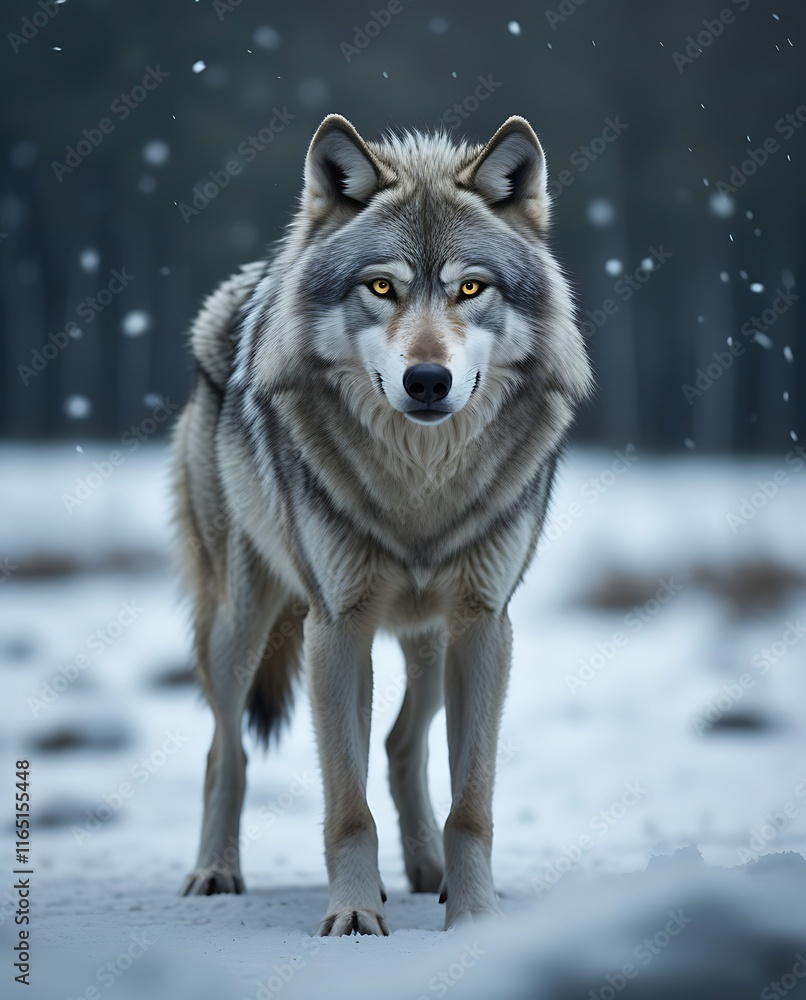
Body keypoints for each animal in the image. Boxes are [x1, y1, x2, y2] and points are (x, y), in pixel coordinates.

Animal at [173, 113, 592, 935]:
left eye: (470, 287)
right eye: (380, 286)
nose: (426, 380)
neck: (420, 490)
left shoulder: (485, 625)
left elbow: (471, 804)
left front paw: (473, 915)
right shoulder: (336, 628)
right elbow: (347, 806)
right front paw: (354, 915)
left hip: (428, 641)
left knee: (403, 744)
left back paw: (427, 870)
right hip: (242, 624)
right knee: (223, 752)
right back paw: (214, 871)